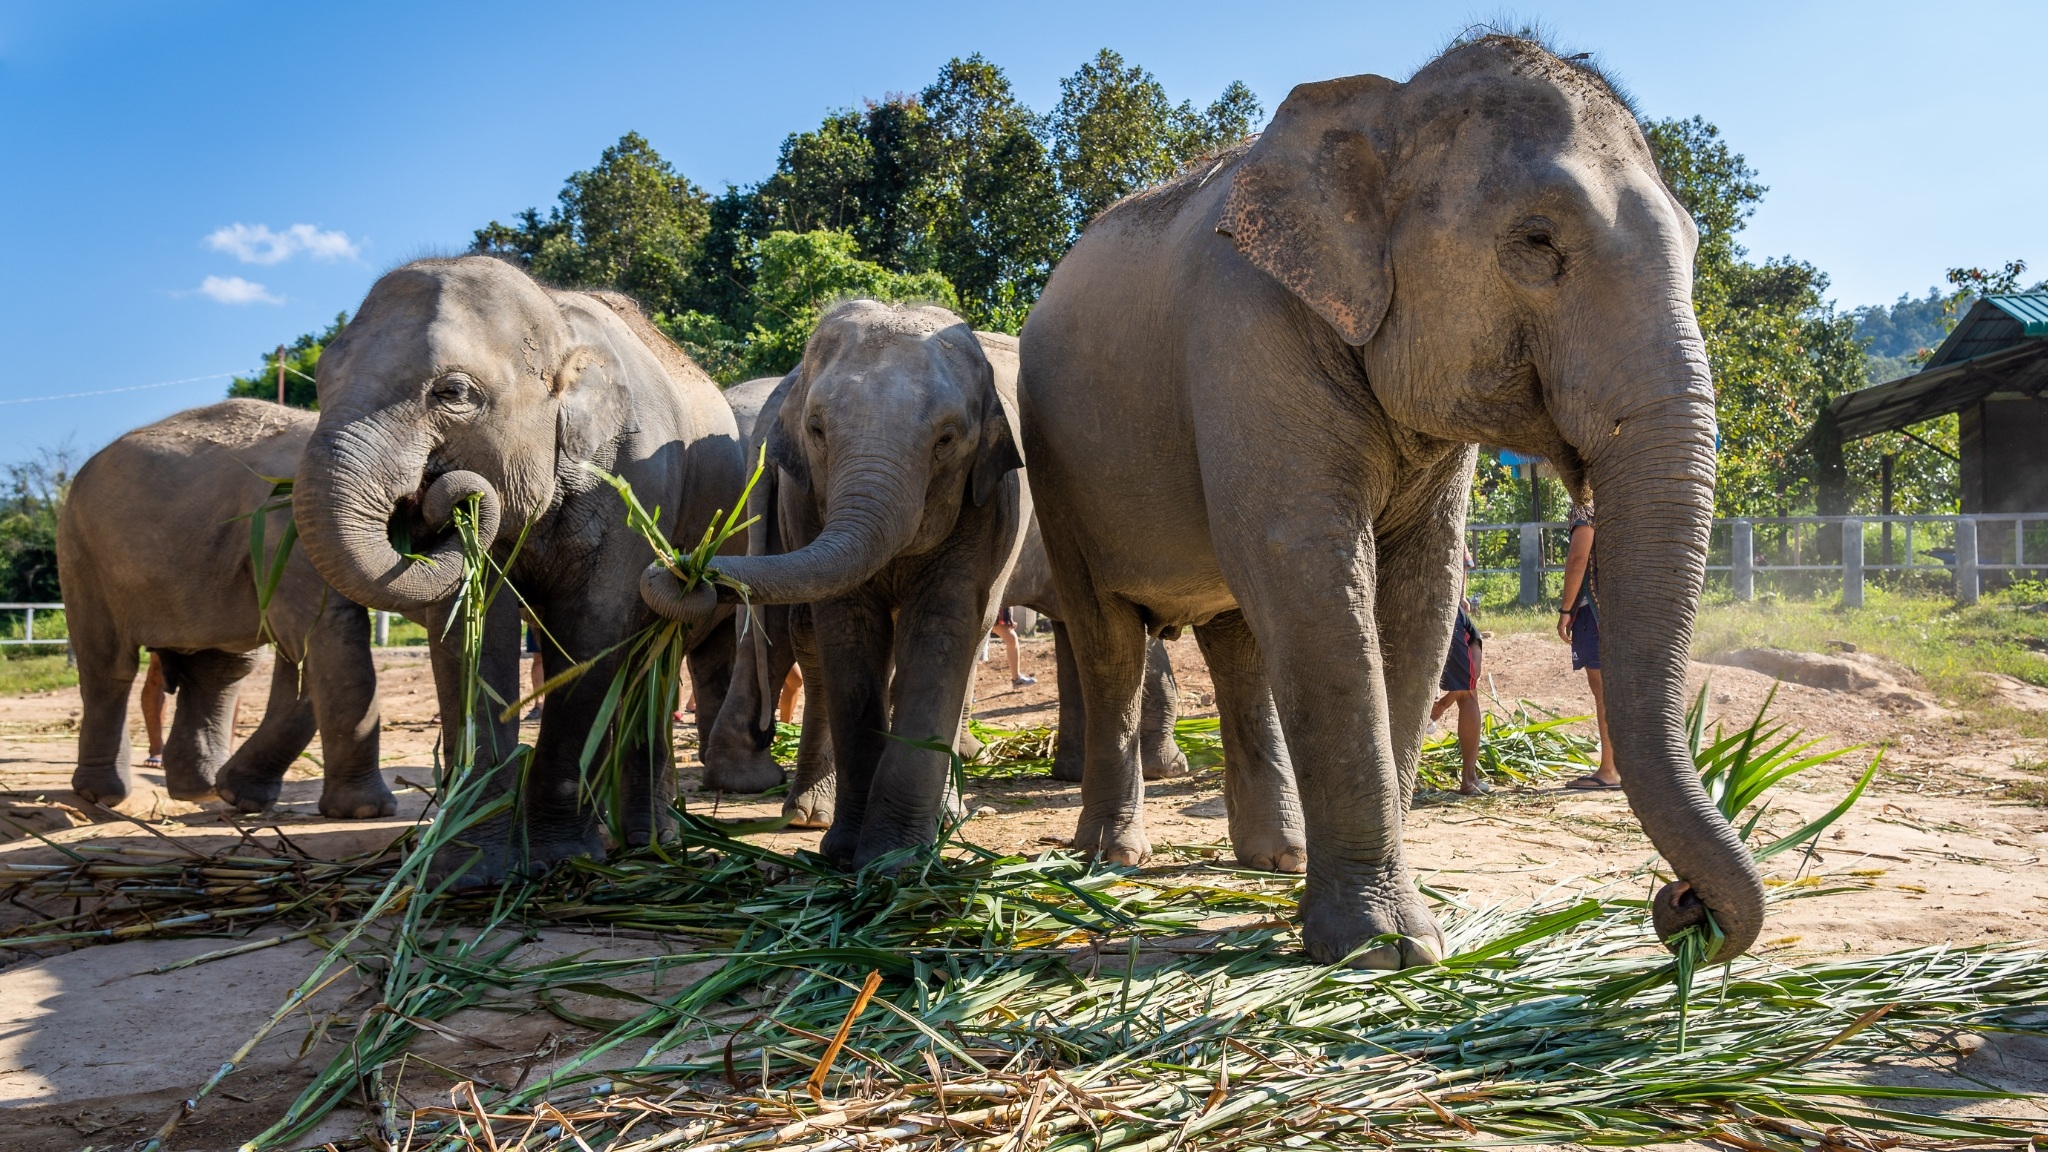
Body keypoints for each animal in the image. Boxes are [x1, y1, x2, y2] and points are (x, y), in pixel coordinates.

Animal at [57, 400, 392, 817]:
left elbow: (301, 655)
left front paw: (242, 797)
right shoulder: (292, 526)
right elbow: (323, 632)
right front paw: (365, 812)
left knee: (220, 670)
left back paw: (201, 790)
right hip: (82, 554)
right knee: (108, 666)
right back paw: (99, 796)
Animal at [292, 255, 746, 885]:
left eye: (452, 393)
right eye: (323, 378)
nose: (441, 498)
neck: (557, 324)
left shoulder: (639, 484)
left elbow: (594, 628)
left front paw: (559, 858)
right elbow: (471, 632)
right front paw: (469, 871)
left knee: (653, 659)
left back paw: (648, 844)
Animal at [643, 299, 1028, 869]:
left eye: (947, 439)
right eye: (817, 429)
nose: (686, 571)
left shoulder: (986, 505)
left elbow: (942, 629)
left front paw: (894, 860)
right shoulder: (804, 500)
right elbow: (847, 629)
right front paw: (852, 853)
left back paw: (944, 816)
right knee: (806, 635)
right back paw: (807, 813)